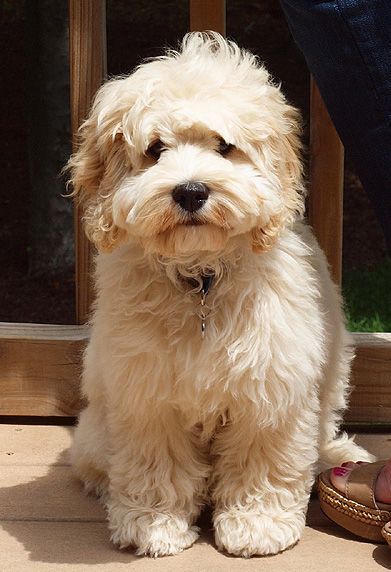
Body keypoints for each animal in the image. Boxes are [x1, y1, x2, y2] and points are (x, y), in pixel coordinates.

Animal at [68, 33, 374, 556]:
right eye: (155, 149)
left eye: (224, 146)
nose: (190, 191)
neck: (203, 281)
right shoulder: (147, 391)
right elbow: (157, 461)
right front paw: (153, 523)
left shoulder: (271, 384)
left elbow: (262, 457)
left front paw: (256, 523)